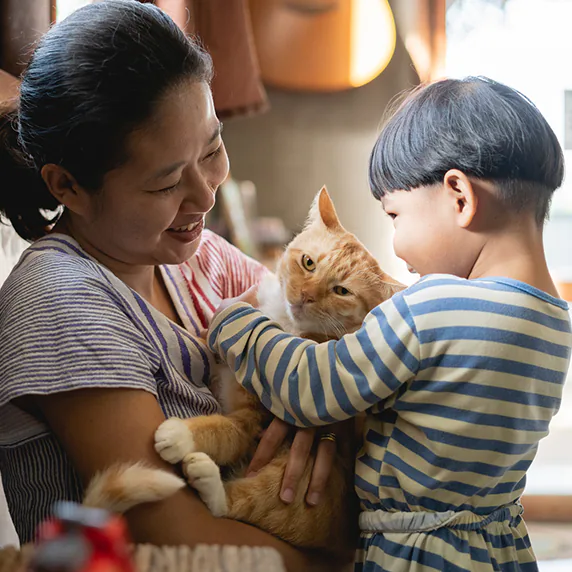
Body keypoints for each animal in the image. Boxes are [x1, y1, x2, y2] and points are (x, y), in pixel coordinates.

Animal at [84, 187, 402, 556]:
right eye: (309, 262)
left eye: (341, 291)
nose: (305, 296)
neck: (281, 320)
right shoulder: (213, 340)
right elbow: (202, 338)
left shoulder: (254, 422)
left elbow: (223, 430)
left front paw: (180, 434)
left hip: (292, 485)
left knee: (244, 504)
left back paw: (208, 479)